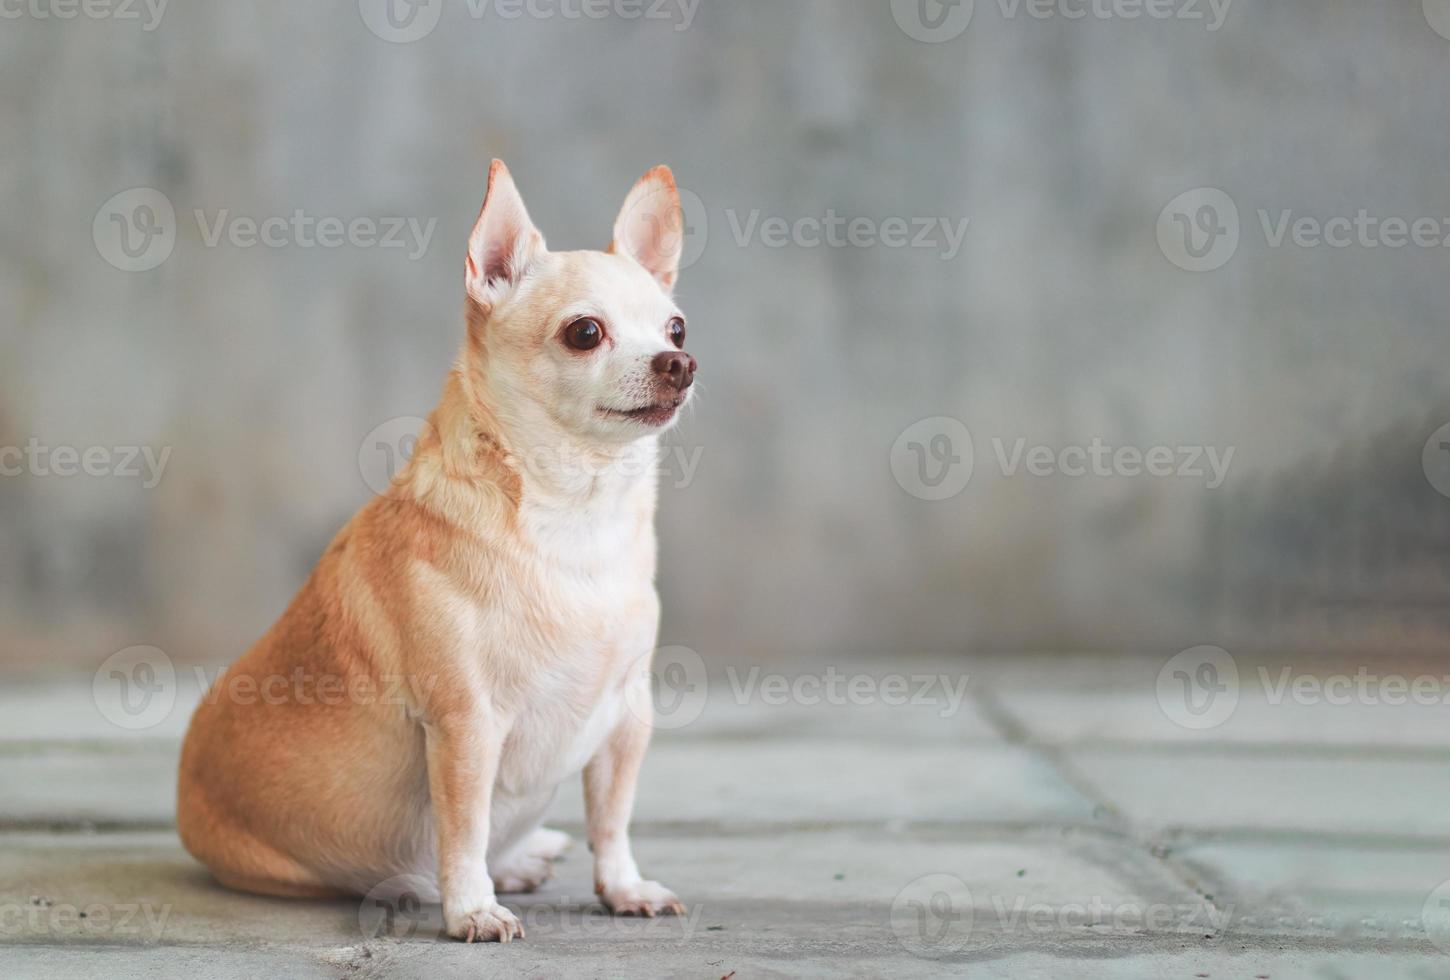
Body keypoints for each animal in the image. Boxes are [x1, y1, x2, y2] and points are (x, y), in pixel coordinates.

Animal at [175, 160, 696, 939]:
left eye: (676, 326)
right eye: (585, 332)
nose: (679, 362)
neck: (575, 511)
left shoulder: (626, 718)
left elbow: (612, 819)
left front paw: (624, 887)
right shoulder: (466, 726)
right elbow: (464, 826)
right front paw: (473, 908)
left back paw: (526, 856)